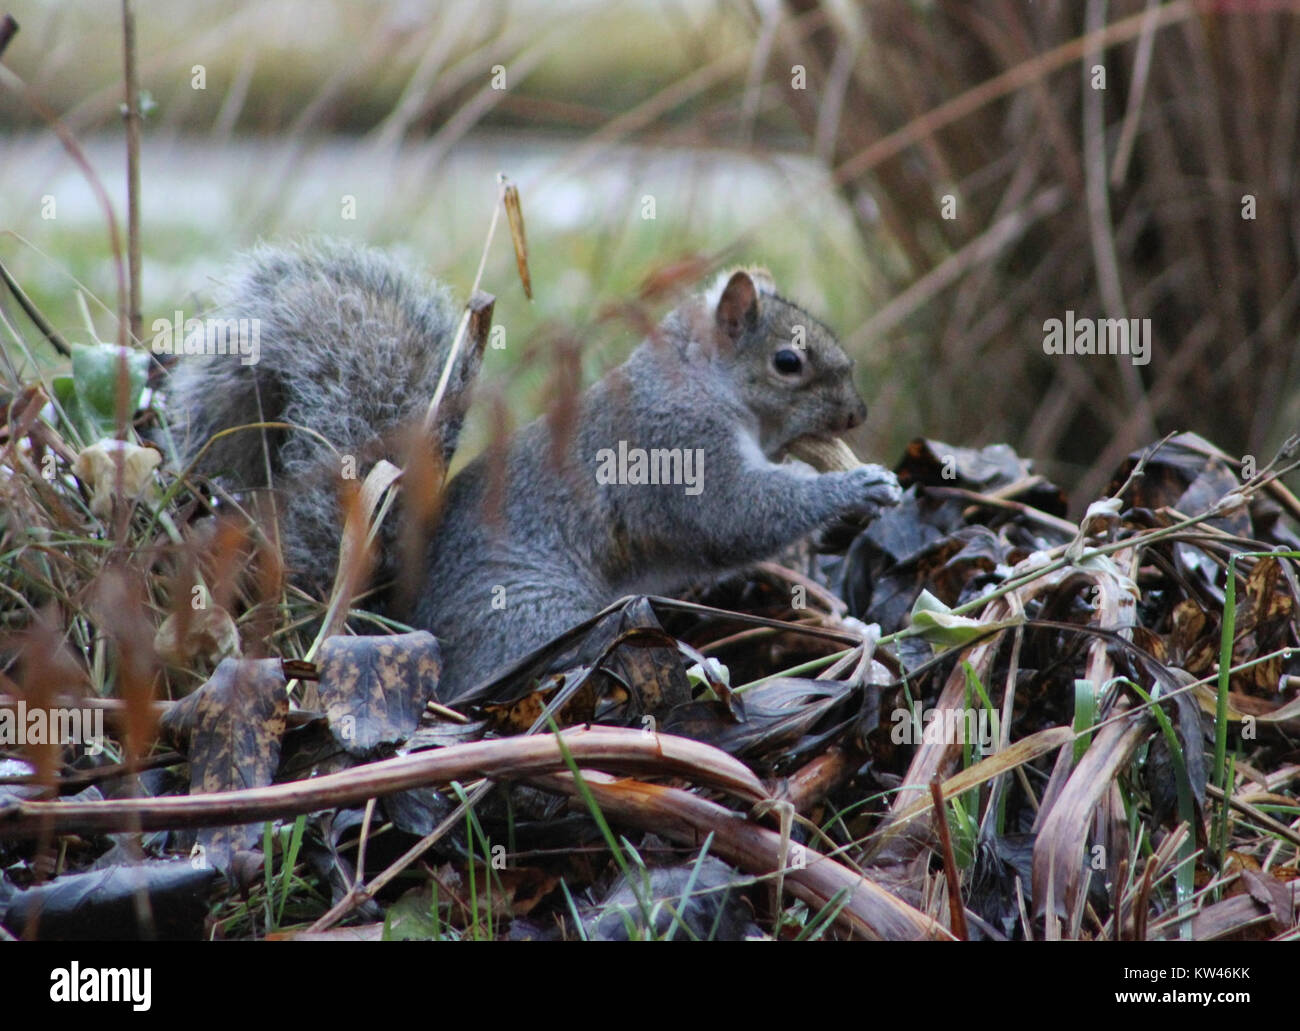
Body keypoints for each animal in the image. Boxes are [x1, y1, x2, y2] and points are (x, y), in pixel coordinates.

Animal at [167, 239, 899, 702]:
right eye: (787, 362)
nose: (860, 412)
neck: (698, 379)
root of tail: (394, 623)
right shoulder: (676, 446)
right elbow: (734, 516)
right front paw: (853, 487)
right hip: (537, 615)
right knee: (578, 654)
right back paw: (701, 667)